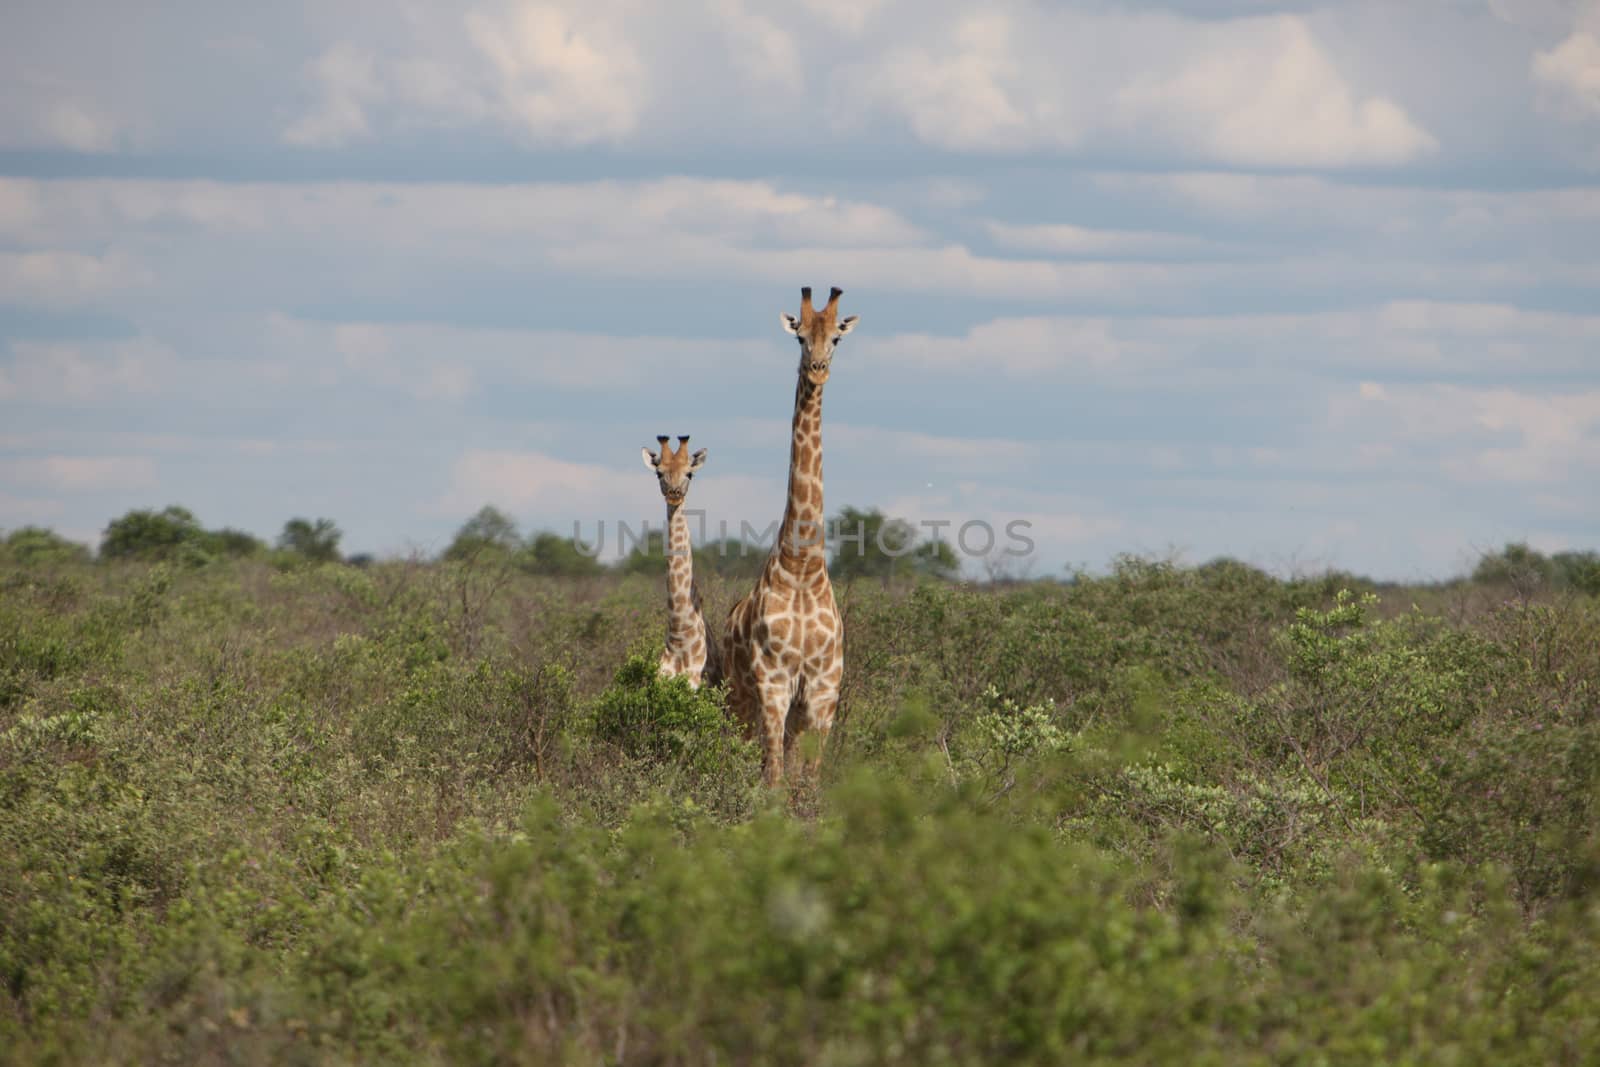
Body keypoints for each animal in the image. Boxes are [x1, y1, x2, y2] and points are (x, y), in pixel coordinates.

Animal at [720, 287, 857, 790]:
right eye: (800, 337)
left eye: (836, 337)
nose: (817, 369)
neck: (801, 564)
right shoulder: (773, 682)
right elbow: (775, 778)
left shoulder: (822, 690)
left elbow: (807, 781)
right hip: (738, 699)